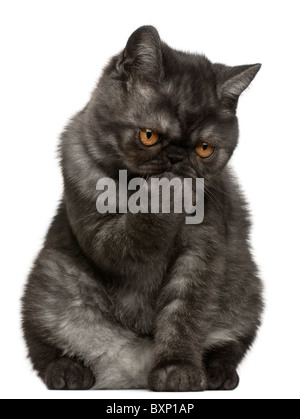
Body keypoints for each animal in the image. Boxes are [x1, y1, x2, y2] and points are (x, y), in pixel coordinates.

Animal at [22, 26, 264, 392]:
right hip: (50, 280)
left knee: (231, 344)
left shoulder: (201, 254)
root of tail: (131, 372)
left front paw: (177, 370)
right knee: (43, 344)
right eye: (149, 136)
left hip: (245, 291)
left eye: (204, 148)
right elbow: (132, 235)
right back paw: (68, 371)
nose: (177, 159)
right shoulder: (100, 233)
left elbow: (185, 314)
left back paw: (218, 373)